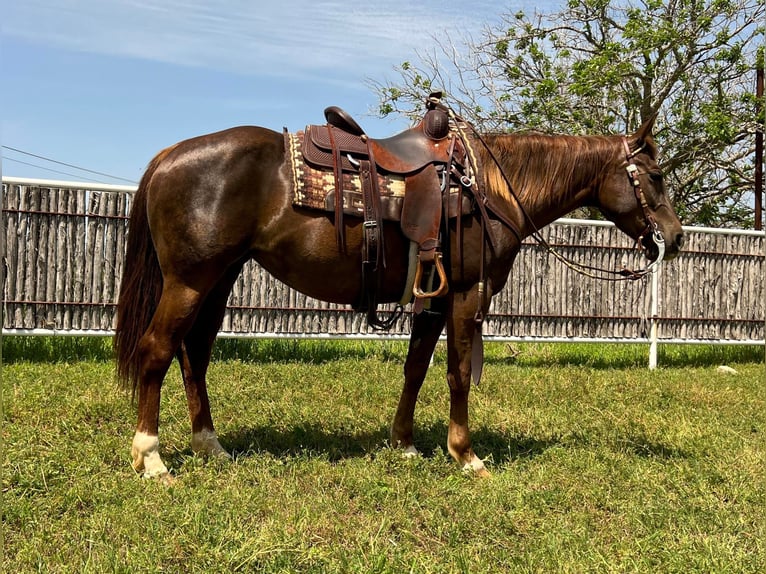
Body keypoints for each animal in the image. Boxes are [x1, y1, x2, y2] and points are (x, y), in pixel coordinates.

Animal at [112, 113, 684, 482]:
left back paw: (210, 446)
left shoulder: (432, 297)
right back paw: (152, 458)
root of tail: (169, 156)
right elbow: (457, 372)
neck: (490, 187)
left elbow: (415, 368)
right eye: (655, 176)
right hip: (189, 280)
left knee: (195, 353)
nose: (676, 238)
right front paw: (466, 455)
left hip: (220, 278)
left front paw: (404, 445)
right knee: (158, 351)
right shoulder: (465, 294)